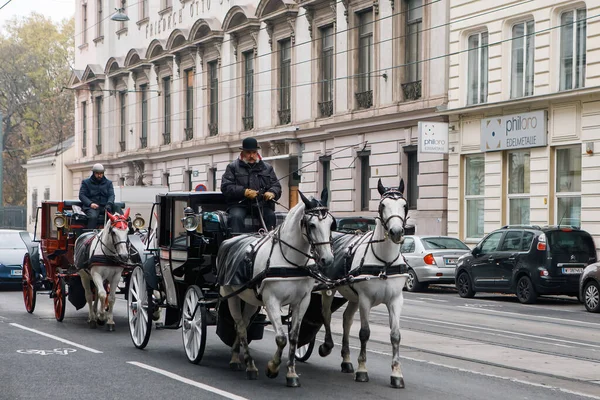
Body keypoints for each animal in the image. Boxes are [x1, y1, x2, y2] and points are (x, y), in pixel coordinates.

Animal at [218, 191, 336, 388]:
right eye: (311, 225)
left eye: (331, 224)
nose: (327, 259)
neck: (290, 261)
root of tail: (229, 240)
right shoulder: (272, 301)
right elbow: (281, 338)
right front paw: (272, 368)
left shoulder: (302, 301)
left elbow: (294, 337)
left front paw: (291, 373)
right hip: (231, 295)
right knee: (240, 326)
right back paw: (249, 366)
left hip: (250, 300)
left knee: (243, 324)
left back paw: (236, 358)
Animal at [322, 180, 410, 390]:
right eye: (382, 205)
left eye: (404, 205)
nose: (396, 232)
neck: (384, 261)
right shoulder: (365, 300)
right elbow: (364, 333)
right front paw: (362, 370)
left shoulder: (396, 300)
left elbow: (396, 335)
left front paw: (396, 374)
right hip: (328, 290)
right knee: (326, 315)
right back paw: (326, 345)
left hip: (353, 297)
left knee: (346, 319)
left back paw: (346, 360)